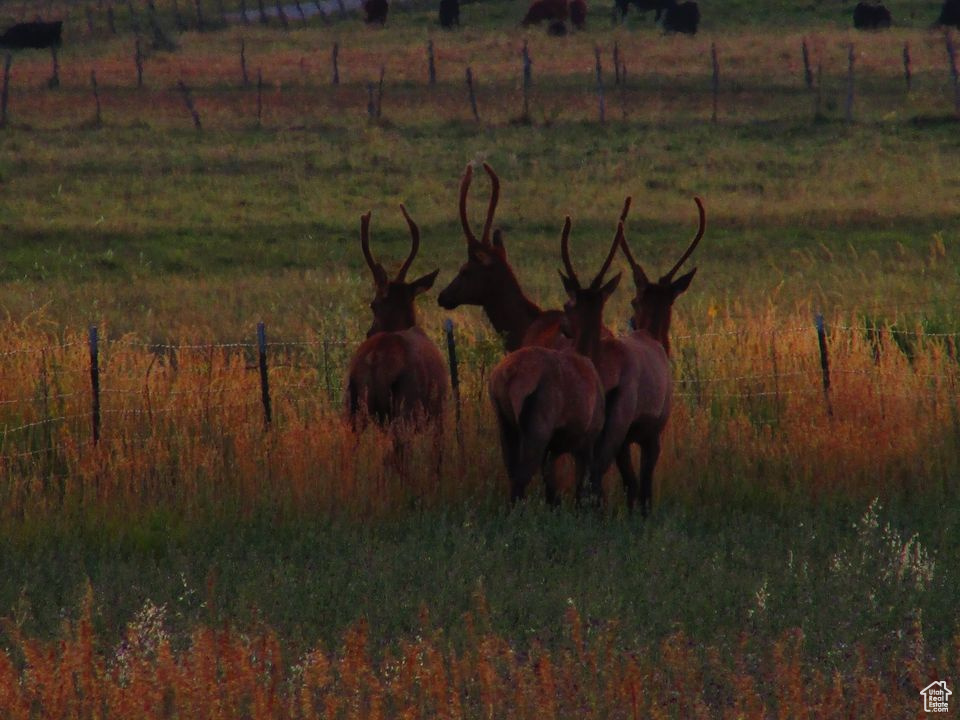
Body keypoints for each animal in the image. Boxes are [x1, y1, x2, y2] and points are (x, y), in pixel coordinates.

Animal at [488, 214, 624, 506]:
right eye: (567, 304)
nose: (564, 326)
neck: (587, 356)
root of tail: (507, 378)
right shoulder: (586, 439)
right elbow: (580, 489)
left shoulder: (556, 448)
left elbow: (553, 490)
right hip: (537, 426)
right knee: (520, 480)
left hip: (504, 422)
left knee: (511, 474)